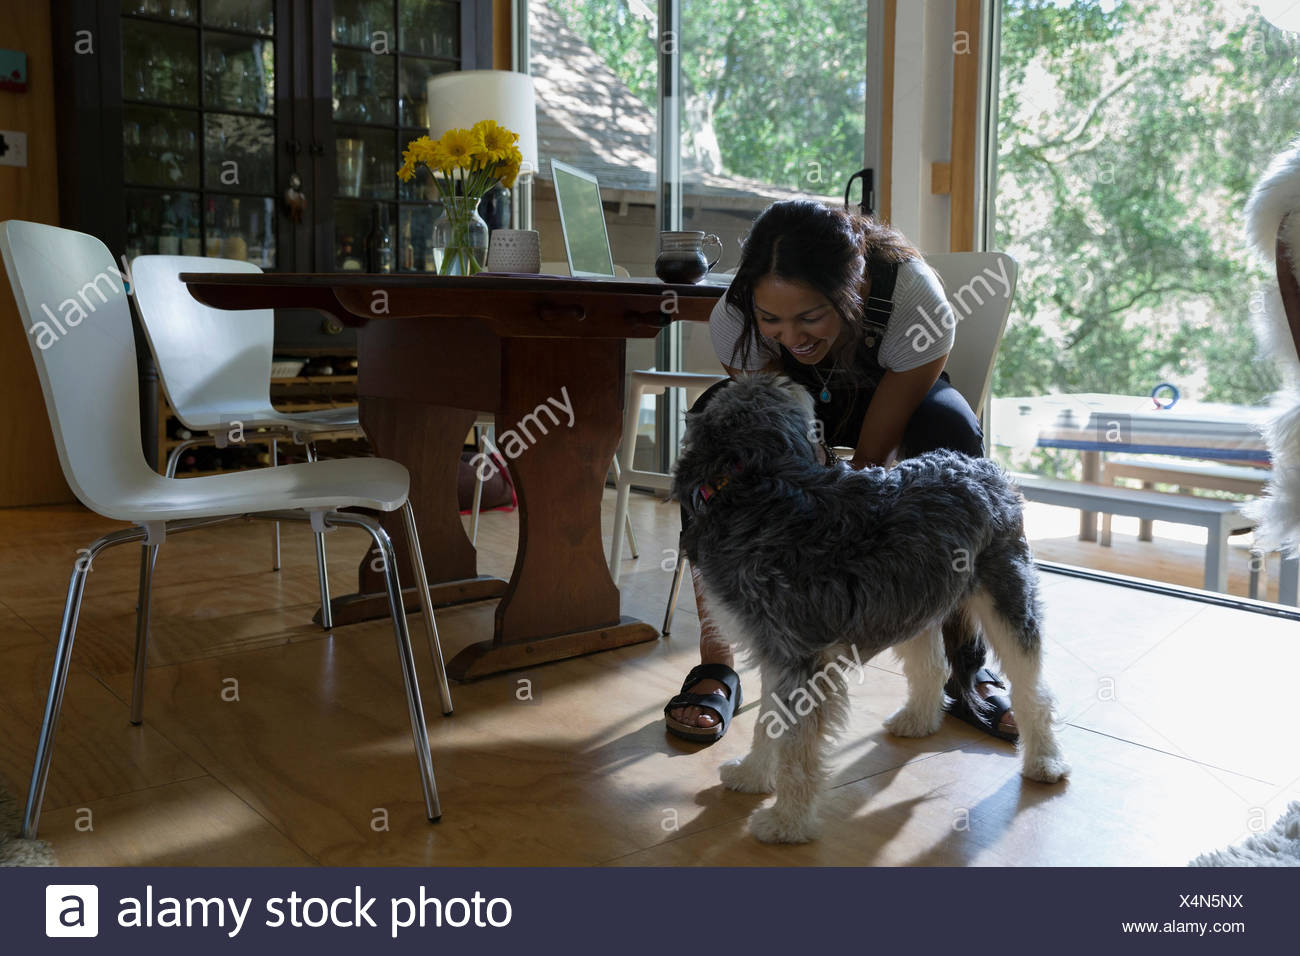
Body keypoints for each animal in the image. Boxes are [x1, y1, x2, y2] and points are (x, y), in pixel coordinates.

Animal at [670, 374, 1066, 842]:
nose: (788, 375)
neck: (750, 481)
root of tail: (982, 468)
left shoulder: (801, 664)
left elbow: (795, 747)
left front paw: (787, 822)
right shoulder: (779, 657)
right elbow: (768, 723)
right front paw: (752, 776)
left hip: (1006, 604)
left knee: (1032, 691)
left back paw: (1044, 760)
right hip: (915, 605)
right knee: (933, 668)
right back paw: (918, 721)